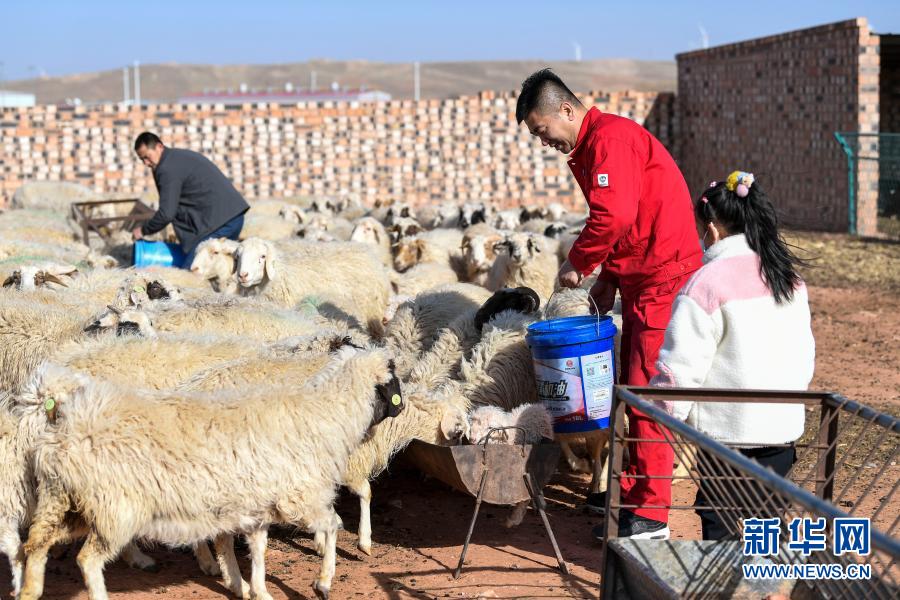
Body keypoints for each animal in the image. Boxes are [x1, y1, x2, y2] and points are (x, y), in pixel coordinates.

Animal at [18, 348, 403, 600]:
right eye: (393, 383)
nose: (401, 410)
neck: (327, 413)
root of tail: (64, 425)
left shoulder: (255, 505)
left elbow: (254, 549)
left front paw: (253, 589)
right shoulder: (299, 497)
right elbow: (333, 526)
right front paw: (323, 582)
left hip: (64, 501)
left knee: (35, 544)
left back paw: (30, 590)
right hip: (116, 507)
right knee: (88, 559)